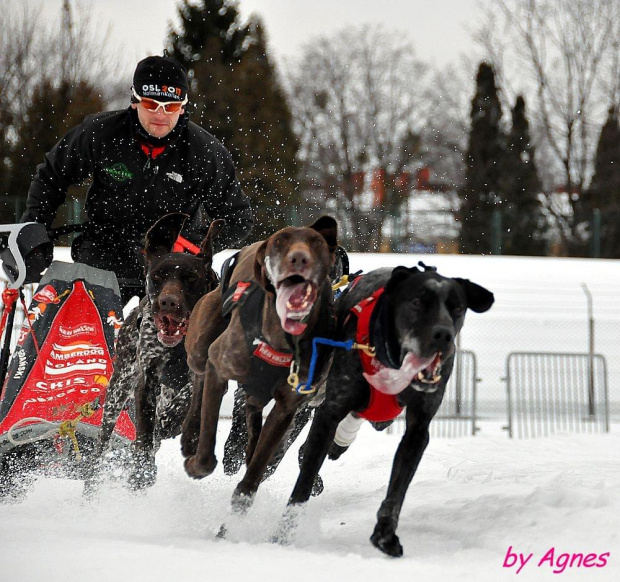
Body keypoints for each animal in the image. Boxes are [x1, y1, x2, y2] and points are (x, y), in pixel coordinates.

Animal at [91, 212, 224, 490]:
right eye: (157, 276)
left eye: (191, 278)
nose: (168, 303)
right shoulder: (148, 374)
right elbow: (144, 431)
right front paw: (142, 471)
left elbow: (191, 400)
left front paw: (185, 430)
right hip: (117, 392)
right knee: (102, 447)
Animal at [182, 218, 336, 516]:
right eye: (280, 242)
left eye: (317, 242)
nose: (299, 258)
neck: (278, 340)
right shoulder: (219, 366)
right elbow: (206, 455)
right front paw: (195, 460)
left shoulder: (287, 408)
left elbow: (253, 477)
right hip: (200, 342)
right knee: (198, 375)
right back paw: (190, 435)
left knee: (252, 412)